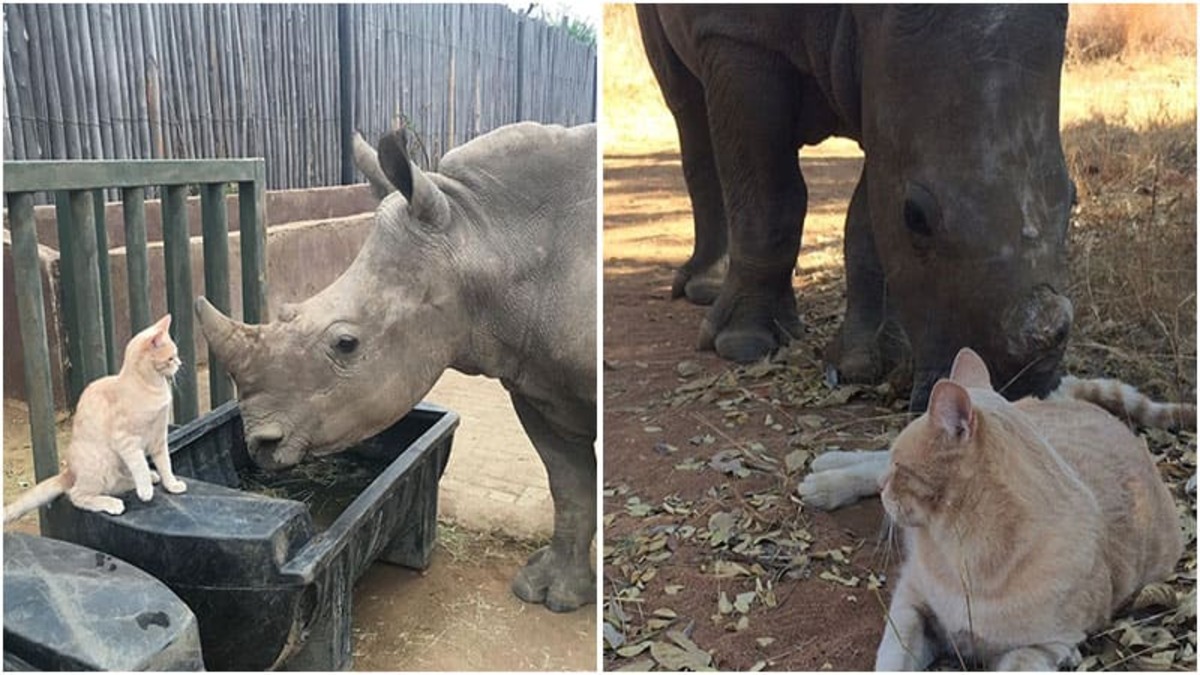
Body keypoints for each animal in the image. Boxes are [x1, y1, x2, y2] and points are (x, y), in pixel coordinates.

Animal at [2, 312, 187, 523]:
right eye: (171, 358)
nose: (180, 364)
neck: (151, 387)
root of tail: (69, 472)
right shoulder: (126, 440)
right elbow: (139, 464)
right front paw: (146, 490)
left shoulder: (159, 438)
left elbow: (166, 464)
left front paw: (171, 484)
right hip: (100, 463)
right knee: (77, 495)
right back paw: (114, 502)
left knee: (115, 484)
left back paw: (149, 477)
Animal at [801, 345, 1185, 667]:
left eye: (901, 468)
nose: (885, 486)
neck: (966, 553)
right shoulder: (910, 602)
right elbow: (892, 659)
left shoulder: (1042, 647)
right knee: (869, 460)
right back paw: (825, 476)